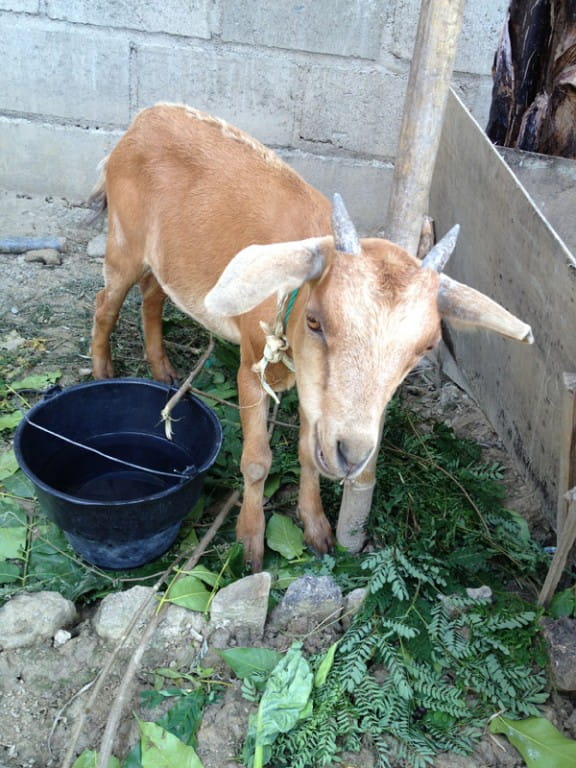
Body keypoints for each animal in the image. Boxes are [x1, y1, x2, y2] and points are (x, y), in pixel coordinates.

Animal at [90, 103, 533, 571]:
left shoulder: (314, 391)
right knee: (106, 301)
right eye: (316, 321)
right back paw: (102, 371)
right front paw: (250, 545)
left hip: (164, 258)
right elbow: (257, 461)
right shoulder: (252, 366)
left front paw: (318, 528)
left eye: (426, 346)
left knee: (153, 292)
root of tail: (145, 117)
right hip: (124, 239)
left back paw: (164, 371)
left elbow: (307, 452)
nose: (351, 454)